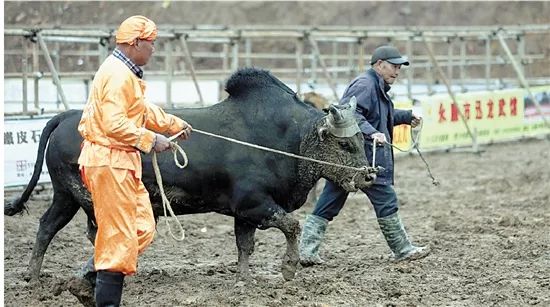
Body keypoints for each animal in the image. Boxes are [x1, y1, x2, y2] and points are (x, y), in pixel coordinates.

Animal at [4, 68, 378, 282]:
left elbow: (245, 246)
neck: (288, 140)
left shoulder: (243, 214)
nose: (369, 176)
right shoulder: (255, 203)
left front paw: (245, 280)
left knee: (48, 226)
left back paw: (34, 277)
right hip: (83, 194)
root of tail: (67, 116)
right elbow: (291, 226)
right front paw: (288, 269)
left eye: (362, 140)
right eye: (345, 144)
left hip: (65, 195)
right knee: (91, 231)